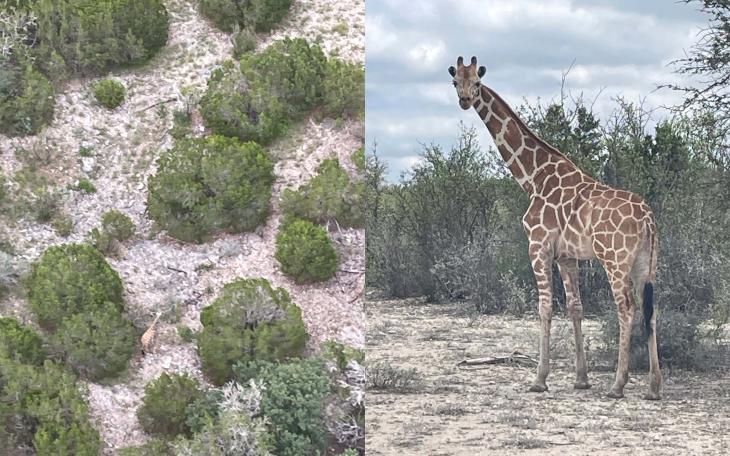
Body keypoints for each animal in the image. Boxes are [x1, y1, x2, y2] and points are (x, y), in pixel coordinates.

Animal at [448, 56, 661, 400]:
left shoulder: (538, 245)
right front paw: (581, 378)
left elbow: (545, 307)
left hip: (614, 259)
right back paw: (654, 387)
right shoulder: (567, 256)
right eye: (456, 82)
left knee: (626, 308)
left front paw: (539, 379)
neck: (533, 178)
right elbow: (575, 308)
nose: (465, 100)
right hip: (646, 262)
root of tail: (647, 218)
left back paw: (618, 384)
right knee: (650, 310)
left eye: (477, 83)